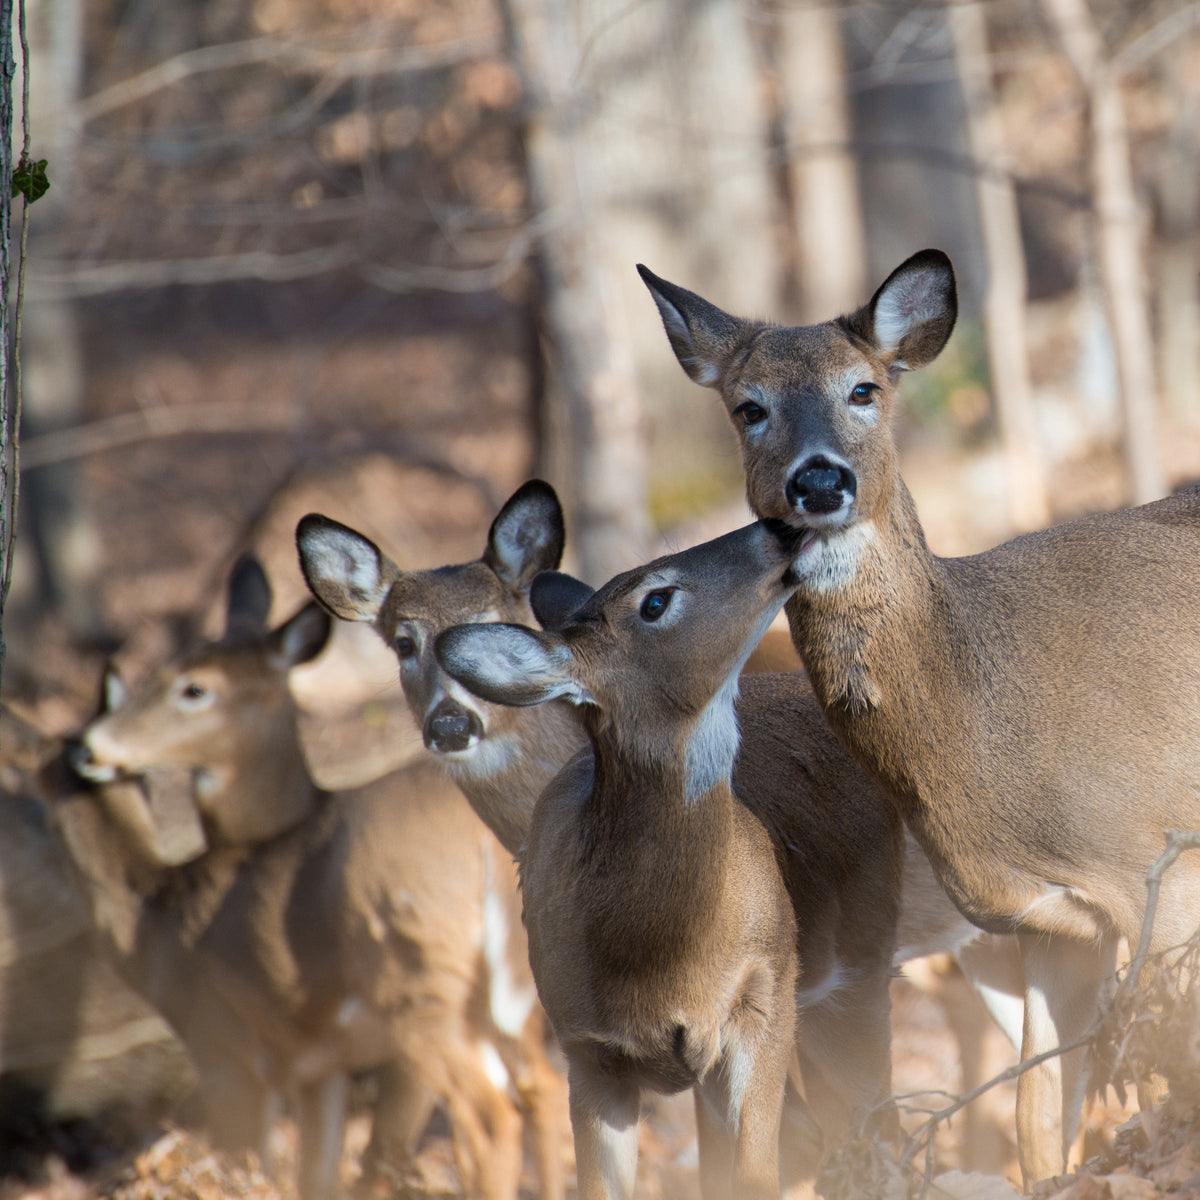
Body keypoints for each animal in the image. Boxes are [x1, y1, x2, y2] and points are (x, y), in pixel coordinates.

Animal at [62, 554, 564, 1200]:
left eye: (194, 687)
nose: (89, 746)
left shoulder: (261, 1052)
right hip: (510, 995)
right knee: (545, 1092)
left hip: (423, 983)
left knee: (488, 1117)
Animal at [639, 248, 1200, 1185]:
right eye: (749, 406)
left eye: (864, 388)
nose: (819, 481)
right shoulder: (1051, 922)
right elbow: (1039, 1123)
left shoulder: (1170, 868)